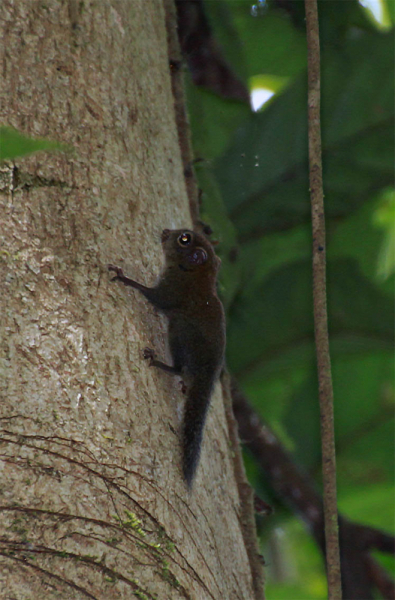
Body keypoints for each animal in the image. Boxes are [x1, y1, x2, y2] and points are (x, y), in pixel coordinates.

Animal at [109, 229, 226, 488]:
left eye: (185, 238)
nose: (165, 232)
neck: (197, 275)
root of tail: (209, 374)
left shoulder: (174, 290)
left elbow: (154, 297)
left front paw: (125, 279)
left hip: (181, 332)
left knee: (181, 367)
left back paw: (160, 363)